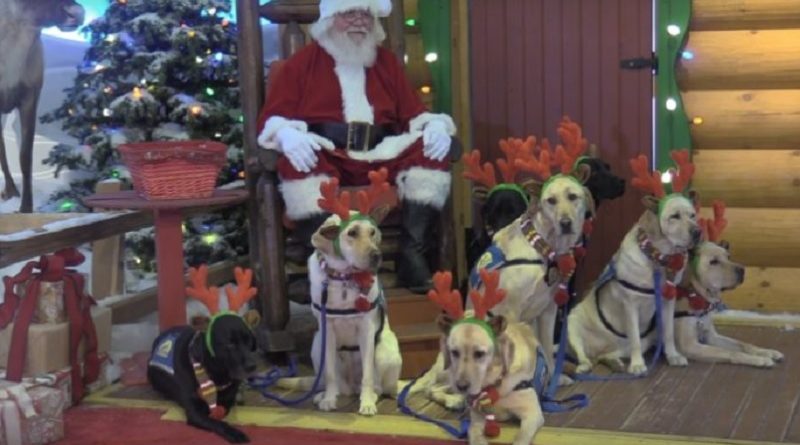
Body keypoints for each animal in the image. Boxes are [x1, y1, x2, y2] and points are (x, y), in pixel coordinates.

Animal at [148, 266, 260, 442]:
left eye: (249, 340)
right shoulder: (195, 411)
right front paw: (235, 433)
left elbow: (224, 406)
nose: (252, 366)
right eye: (230, 343)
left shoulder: (228, 395)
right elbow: (217, 421)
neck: (218, 373)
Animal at [308, 166, 406, 412]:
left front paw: (367, 403)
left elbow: (368, 375)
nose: (377, 256)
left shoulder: (367, 329)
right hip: (316, 345)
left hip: (387, 350)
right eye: (351, 233)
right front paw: (328, 399)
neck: (344, 277)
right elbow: (330, 373)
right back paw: (324, 395)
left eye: (373, 232)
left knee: (382, 387)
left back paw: (377, 395)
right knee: (337, 383)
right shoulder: (327, 330)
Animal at [432, 268, 552, 442]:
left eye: (479, 353)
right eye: (454, 352)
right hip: (449, 375)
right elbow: (474, 435)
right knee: (431, 389)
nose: (462, 386)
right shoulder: (476, 417)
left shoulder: (532, 414)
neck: (494, 384)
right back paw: (454, 400)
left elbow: (521, 438)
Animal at [568, 150, 700, 374]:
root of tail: (596, 352)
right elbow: (635, 338)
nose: (698, 232)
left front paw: (673, 355)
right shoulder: (630, 305)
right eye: (674, 216)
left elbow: (668, 333)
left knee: (607, 355)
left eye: (693, 215)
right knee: (583, 354)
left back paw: (614, 362)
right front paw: (638, 364)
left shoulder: (668, 301)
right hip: (572, 321)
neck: (657, 257)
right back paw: (585, 365)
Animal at [672, 199, 784, 366]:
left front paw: (766, 352)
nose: (743, 270)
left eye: (728, 256)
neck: (696, 295)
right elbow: (729, 352)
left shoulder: (711, 336)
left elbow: (743, 344)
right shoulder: (689, 345)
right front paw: (758, 359)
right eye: (713, 262)